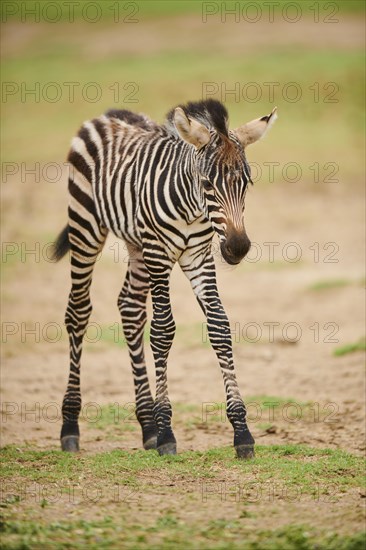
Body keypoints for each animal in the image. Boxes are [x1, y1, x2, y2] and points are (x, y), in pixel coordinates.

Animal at [53, 100, 278, 462]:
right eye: (207, 184)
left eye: (247, 183)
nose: (237, 247)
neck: (191, 208)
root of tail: (110, 114)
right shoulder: (159, 253)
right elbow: (162, 331)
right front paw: (167, 433)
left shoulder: (199, 257)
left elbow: (219, 326)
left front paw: (242, 432)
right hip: (86, 225)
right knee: (78, 312)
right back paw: (71, 427)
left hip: (137, 246)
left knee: (130, 309)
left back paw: (147, 426)